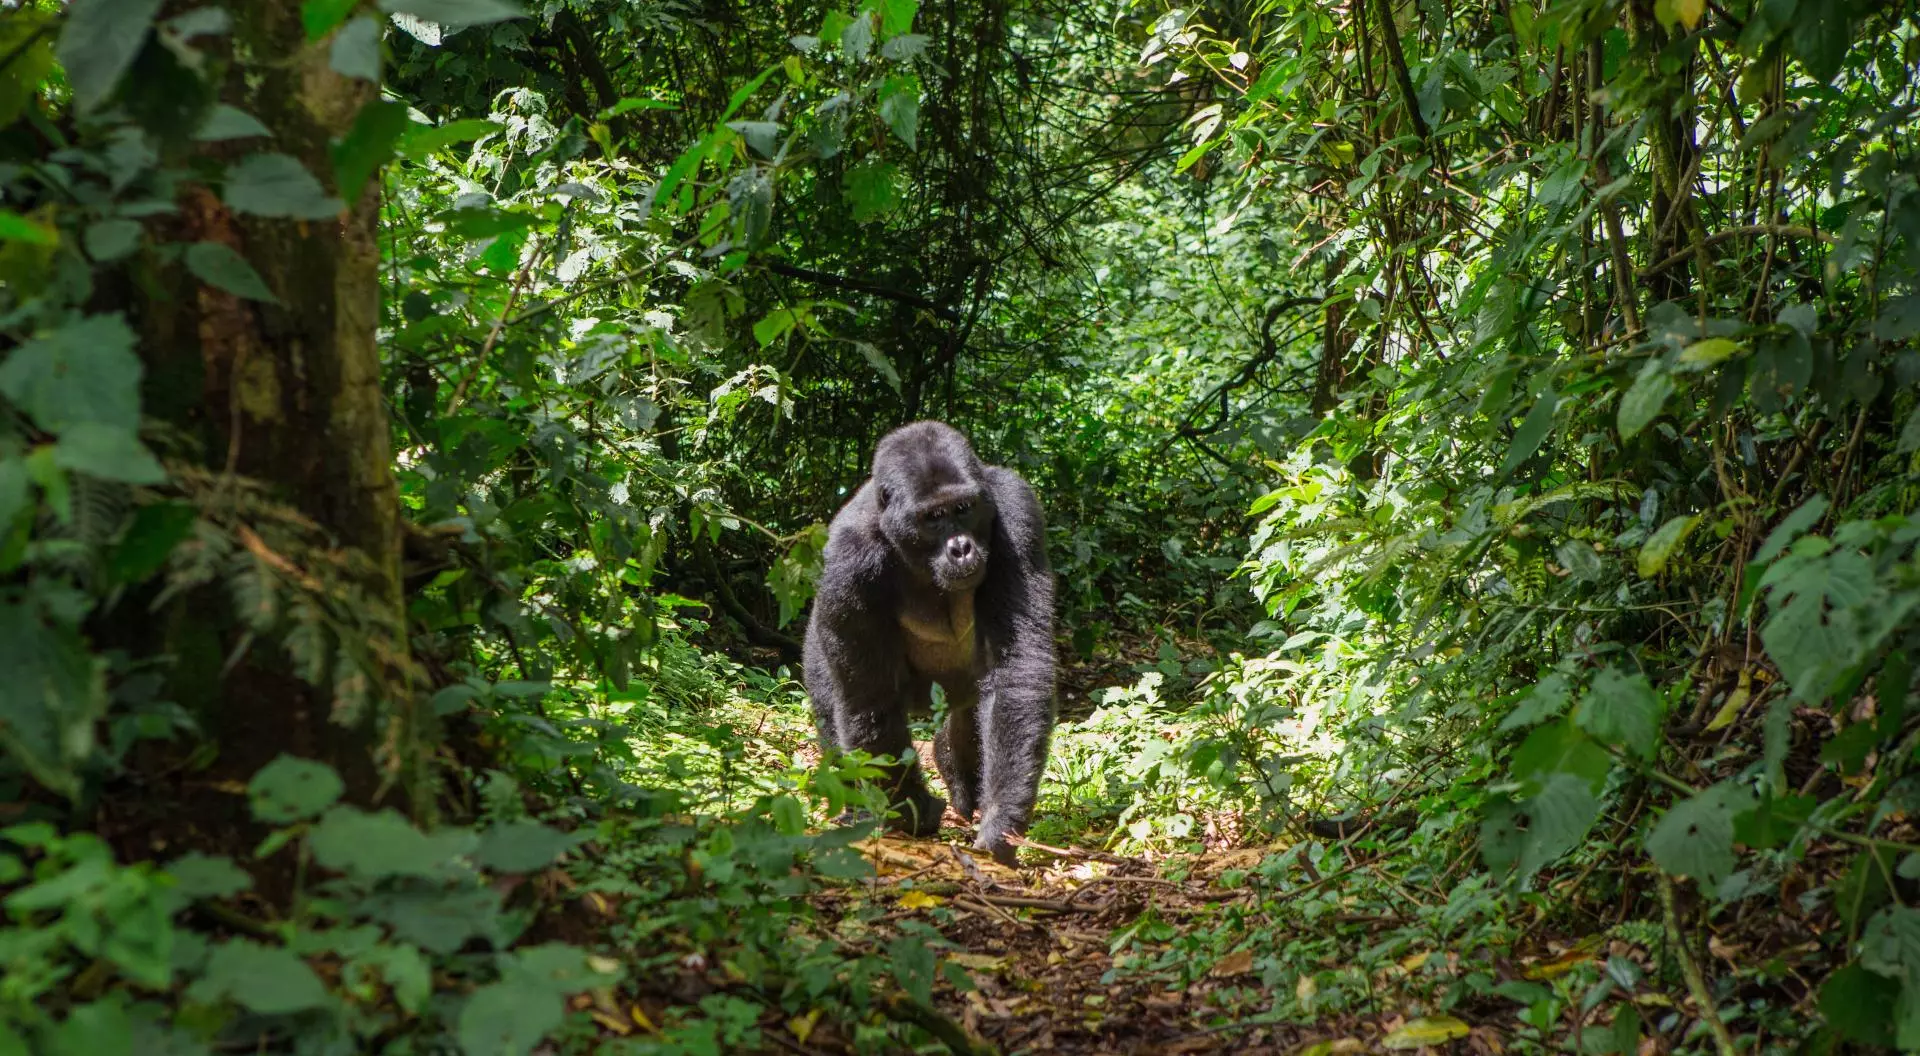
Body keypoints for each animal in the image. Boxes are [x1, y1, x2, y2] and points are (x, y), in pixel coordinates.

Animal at [803, 421, 1056, 866]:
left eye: (963, 509)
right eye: (933, 518)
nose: (962, 548)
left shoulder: (1016, 509)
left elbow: (1017, 669)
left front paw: (1001, 819)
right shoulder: (847, 561)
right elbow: (871, 698)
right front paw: (912, 811)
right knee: (834, 707)